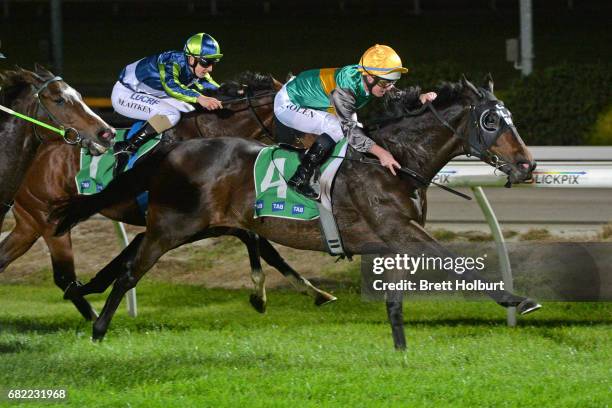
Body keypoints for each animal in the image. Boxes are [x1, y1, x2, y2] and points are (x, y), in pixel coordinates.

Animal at [52, 75, 540, 346]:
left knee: (130, 260)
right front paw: (518, 299)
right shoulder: (398, 229)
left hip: (195, 227)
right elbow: (456, 262)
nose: (527, 165)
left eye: (511, 119)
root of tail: (173, 151)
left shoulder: (396, 239)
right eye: (491, 121)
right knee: (131, 271)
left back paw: (88, 295)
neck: (397, 161)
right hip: (170, 228)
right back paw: (98, 327)